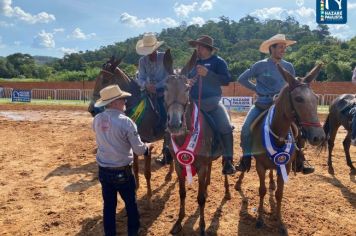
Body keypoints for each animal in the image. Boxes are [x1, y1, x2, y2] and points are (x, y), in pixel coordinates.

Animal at [87, 55, 174, 205]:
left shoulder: (145, 144)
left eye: (105, 80)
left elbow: (147, 172)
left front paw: (149, 196)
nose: (92, 109)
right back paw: (169, 174)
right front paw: (136, 187)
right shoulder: (133, 144)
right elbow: (135, 168)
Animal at [163, 50, 232, 235]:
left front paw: (201, 226)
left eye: (187, 88)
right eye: (165, 88)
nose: (175, 124)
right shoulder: (179, 166)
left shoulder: (200, 166)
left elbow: (200, 198)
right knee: (210, 169)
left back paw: (227, 192)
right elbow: (182, 193)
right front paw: (179, 221)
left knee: (224, 170)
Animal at [235, 63, 326, 235]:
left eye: (316, 99)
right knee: (245, 165)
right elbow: (262, 190)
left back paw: (272, 182)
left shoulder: (286, 165)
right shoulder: (260, 166)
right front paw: (260, 219)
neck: (277, 133)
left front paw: (280, 223)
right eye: (298, 98)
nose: (319, 136)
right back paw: (238, 182)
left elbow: (279, 194)